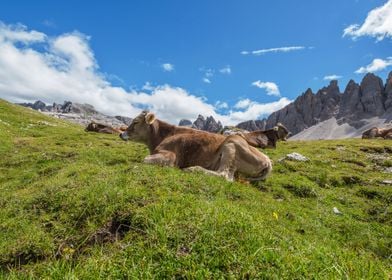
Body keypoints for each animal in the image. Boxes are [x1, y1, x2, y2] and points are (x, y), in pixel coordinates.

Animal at [119, 111, 272, 182]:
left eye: (136, 122)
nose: (121, 134)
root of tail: (268, 160)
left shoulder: (171, 154)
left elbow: (144, 159)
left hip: (232, 143)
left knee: (224, 175)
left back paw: (193, 169)